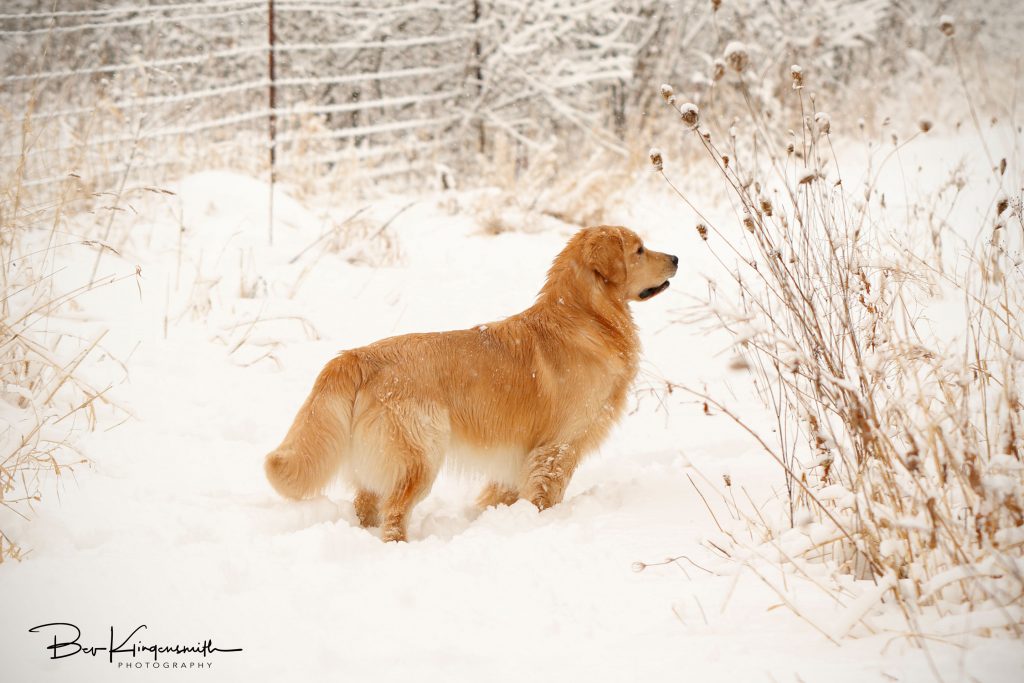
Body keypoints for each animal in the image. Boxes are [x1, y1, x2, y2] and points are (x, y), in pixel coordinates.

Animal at [268, 227, 675, 540]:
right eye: (639, 249)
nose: (675, 257)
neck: (585, 317)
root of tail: (357, 356)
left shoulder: (521, 452)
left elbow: (503, 491)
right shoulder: (558, 446)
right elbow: (545, 493)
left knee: (366, 503)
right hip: (420, 455)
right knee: (395, 510)